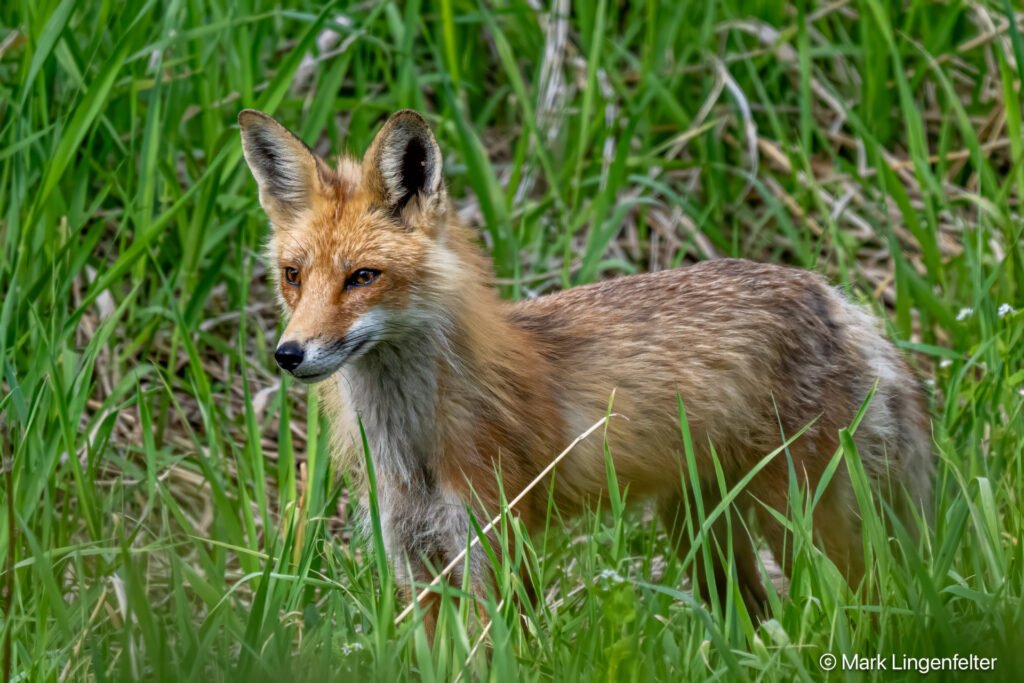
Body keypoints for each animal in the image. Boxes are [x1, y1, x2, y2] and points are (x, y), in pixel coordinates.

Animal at [238, 108, 933, 626]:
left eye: (362, 277)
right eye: (293, 276)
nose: (289, 355)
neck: (415, 451)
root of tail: (836, 298)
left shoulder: (493, 549)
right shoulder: (416, 563)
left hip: (804, 522)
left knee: (872, 600)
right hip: (701, 532)